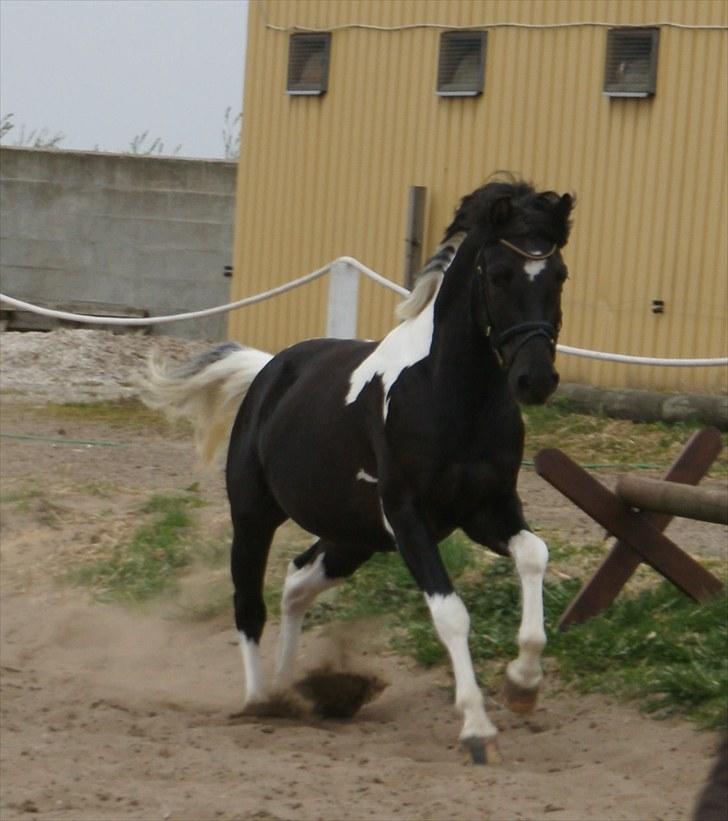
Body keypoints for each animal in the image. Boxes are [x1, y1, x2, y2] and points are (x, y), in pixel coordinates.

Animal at [142, 178, 576, 764]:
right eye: (501, 274)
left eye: (558, 274)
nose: (536, 380)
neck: (450, 394)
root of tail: (267, 371)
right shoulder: (407, 516)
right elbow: (451, 613)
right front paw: (476, 726)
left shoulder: (488, 508)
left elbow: (534, 555)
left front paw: (523, 686)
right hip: (255, 517)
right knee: (249, 604)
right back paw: (261, 702)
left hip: (354, 537)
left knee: (296, 582)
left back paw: (294, 689)